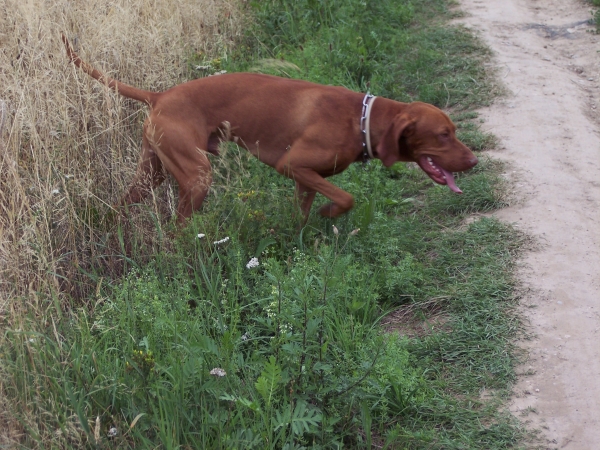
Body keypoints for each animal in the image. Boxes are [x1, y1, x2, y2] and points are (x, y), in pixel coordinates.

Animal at [62, 35, 478, 225]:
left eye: (454, 130)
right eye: (444, 134)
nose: (474, 161)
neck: (361, 119)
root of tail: (160, 94)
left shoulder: (306, 178)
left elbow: (304, 215)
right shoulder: (292, 166)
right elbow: (346, 198)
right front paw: (330, 212)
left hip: (151, 172)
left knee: (119, 207)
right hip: (196, 176)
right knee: (177, 228)